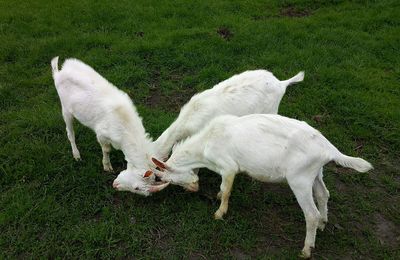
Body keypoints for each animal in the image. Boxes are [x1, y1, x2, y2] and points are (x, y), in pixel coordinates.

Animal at [50, 57, 169, 195]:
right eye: (136, 188)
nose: (115, 186)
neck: (125, 124)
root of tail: (59, 72)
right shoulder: (102, 134)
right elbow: (106, 149)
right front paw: (107, 166)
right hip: (65, 109)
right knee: (70, 133)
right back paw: (77, 155)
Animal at [152, 114, 374, 258]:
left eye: (172, 179)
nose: (193, 189)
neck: (206, 143)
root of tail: (328, 148)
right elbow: (223, 189)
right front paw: (217, 198)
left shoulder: (229, 166)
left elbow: (226, 190)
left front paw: (219, 213)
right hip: (316, 173)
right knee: (323, 194)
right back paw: (323, 223)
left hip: (300, 179)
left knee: (311, 214)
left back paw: (307, 249)